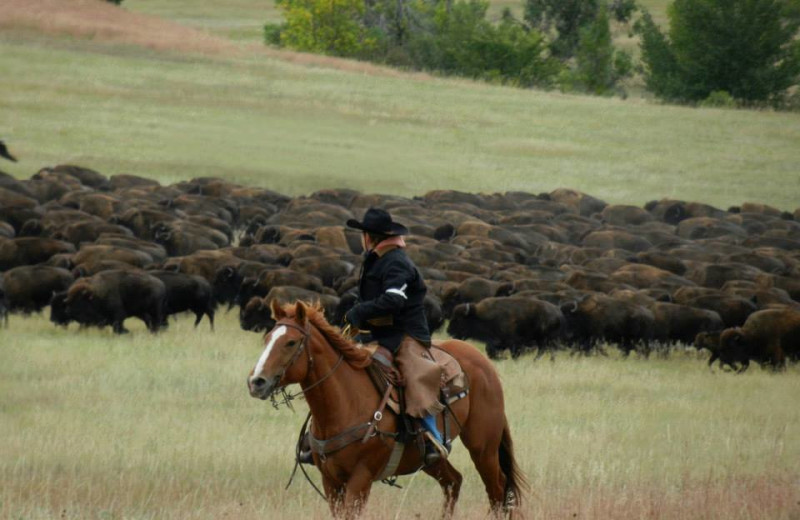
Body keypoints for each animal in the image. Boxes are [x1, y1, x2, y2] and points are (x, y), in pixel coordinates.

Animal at [247, 302, 528, 516]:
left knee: (497, 491)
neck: (344, 403)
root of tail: (483, 363)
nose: (256, 382)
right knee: (453, 482)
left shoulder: (360, 479)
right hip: (430, 460)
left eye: (291, 342)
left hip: (483, 447)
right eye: (267, 338)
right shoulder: (331, 481)